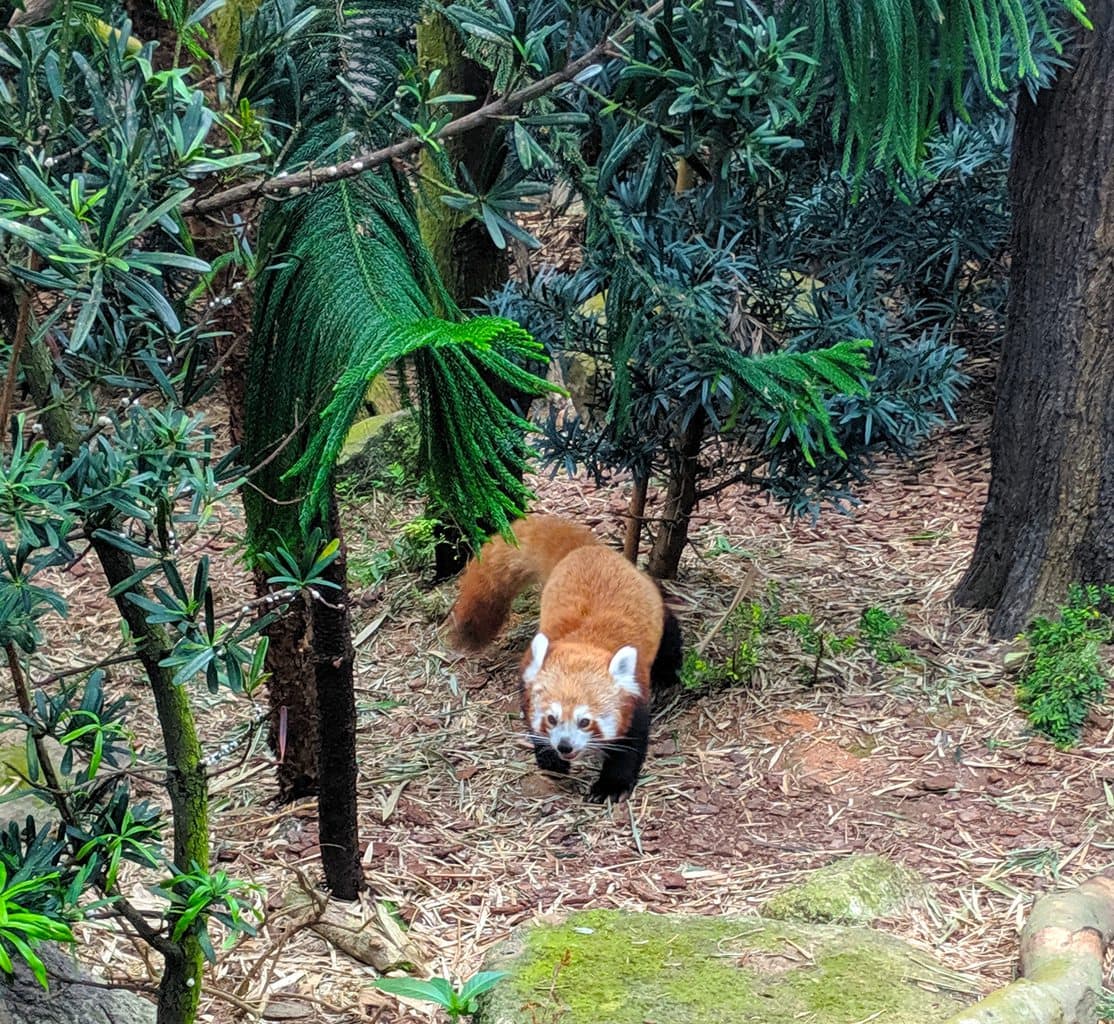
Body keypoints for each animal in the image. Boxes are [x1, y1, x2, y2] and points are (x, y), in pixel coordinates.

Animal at [447, 512, 681, 802]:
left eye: (585, 721)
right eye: (551, 718)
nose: (565, 746)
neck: (585, 643)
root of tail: (587, 550)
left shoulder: (635, 694)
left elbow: (629, 745)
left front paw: (610, 786)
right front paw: (551, 760)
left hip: (653, 605)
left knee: (670, 634)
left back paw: (669, 672)